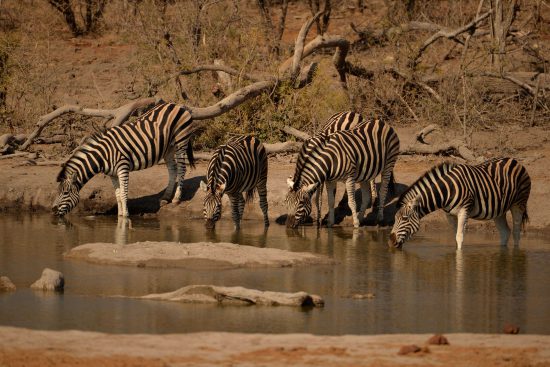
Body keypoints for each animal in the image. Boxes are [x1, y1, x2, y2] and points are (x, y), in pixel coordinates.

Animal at [51, 103, 197, 218]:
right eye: (58, 192)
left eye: (65, 193)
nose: (52, 210)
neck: (103, 156)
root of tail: (177, 105)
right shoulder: (112, 174)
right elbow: (118, 195)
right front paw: (120, 215)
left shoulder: (123, 168)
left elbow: (124, 193)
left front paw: (126, 216)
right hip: (168, 148)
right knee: (172, 170)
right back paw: (166, 198)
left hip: (180, 141)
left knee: (182, 169)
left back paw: (176, 198)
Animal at [390, 158, 532, 250]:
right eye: (395, 218)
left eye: (404, 218)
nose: (390, 241)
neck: (447, 191)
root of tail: (515, 161)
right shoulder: (450, 215)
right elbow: (455, 236)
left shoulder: (464, 210)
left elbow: (459, 237)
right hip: (499, 210)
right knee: (505, 232)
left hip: (519, 204)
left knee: (516, 232)